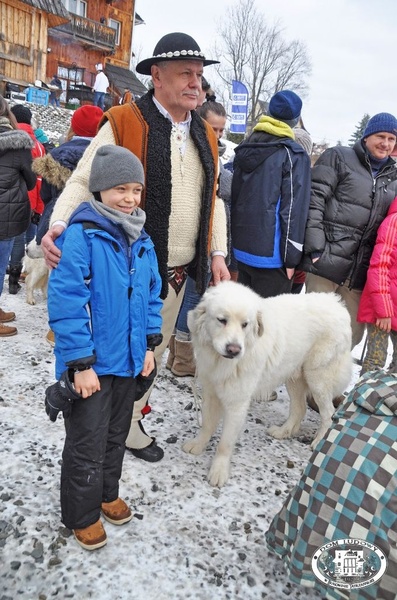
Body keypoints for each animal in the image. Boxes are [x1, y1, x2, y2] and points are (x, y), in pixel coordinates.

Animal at [181, 282, 352, 488]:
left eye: (245, 325)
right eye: (222, 320)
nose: (234, 349)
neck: (222, 361)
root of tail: (338, 304)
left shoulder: (237, 403)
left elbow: (225, 443)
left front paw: (219, 471)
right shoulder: (211, 392)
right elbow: (207, 425)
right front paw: (198, 445)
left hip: (317, 378)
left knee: (327, 413)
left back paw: (319, 441)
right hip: (293, 376)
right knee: (299, 409)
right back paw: (283, 431)